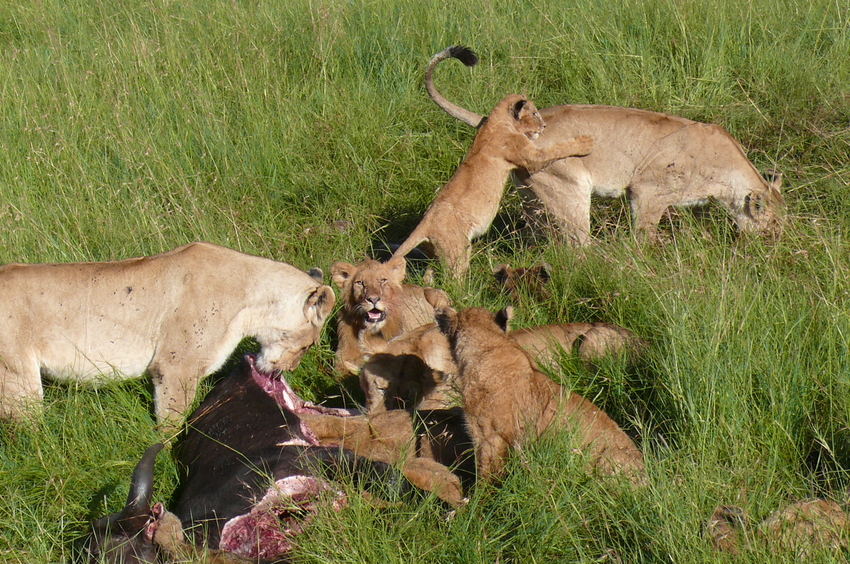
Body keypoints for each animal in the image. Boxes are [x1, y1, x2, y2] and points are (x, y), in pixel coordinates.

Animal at [390, 91, 588, 278]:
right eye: (533, 113)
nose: (544, 126)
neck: (496, 120)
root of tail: (426, 221)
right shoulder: (530, 157)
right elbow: (557, 149)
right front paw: (584, 142)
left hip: (438, 253)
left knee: (429, 275)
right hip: (458, 252)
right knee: (453, 280)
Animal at [424, 45, 780, 245]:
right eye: (775, 224)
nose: (775, 245)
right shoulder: (647, 191)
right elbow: (645, 236)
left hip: (533, 195)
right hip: (568, 189)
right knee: (578, 246)